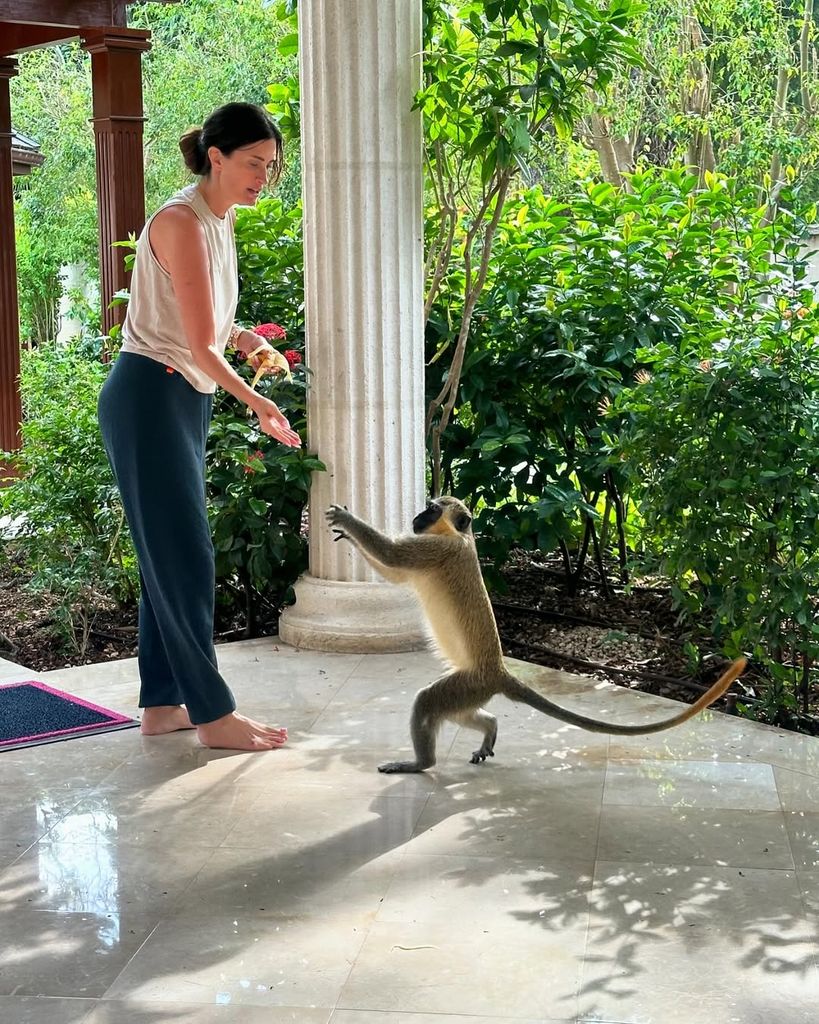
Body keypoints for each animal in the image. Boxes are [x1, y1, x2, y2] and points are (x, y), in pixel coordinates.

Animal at [325, 497, 749, 774]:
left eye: (432, 508)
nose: (417, 516)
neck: (460, 538)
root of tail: (498, 672)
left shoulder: (437, 549)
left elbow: (393, 558)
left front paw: (347, 521)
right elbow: (393, 573)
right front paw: (346, 537)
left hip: (470, 682)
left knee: (428, 703)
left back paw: (420, 763)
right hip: (472, 689)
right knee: (460, 712)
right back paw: (489, 728)